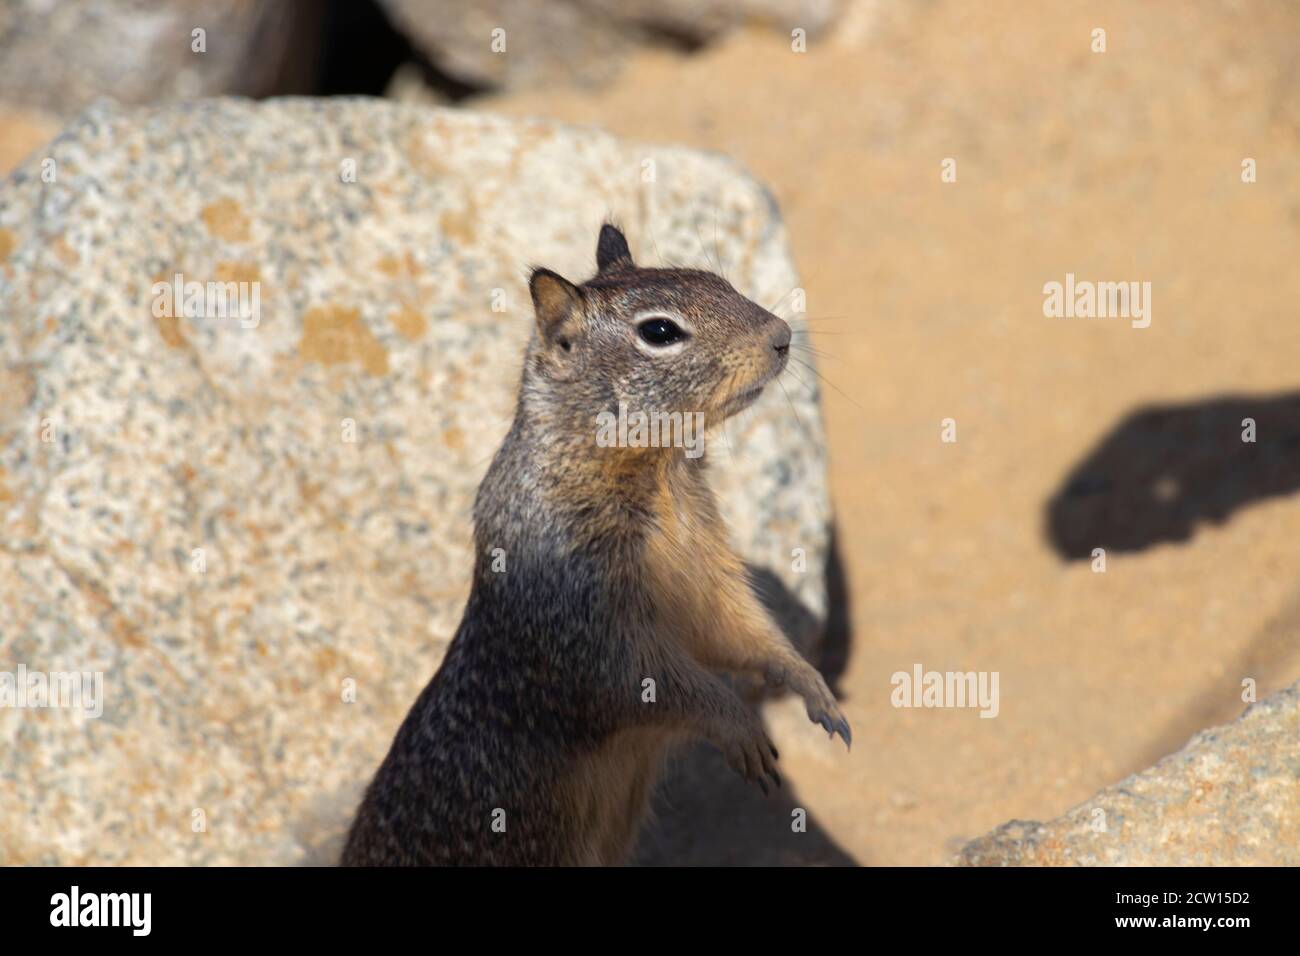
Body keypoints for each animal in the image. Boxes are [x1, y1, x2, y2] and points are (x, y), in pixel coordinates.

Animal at [343, 223, 852, 868]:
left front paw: (810, 683)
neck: (661, 474)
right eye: (659, 332)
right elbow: (657, 682)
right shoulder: (591, 620)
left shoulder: (705, 570)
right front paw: (741, 727)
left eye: (719, 280)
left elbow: (740, 630)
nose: (782, 336)